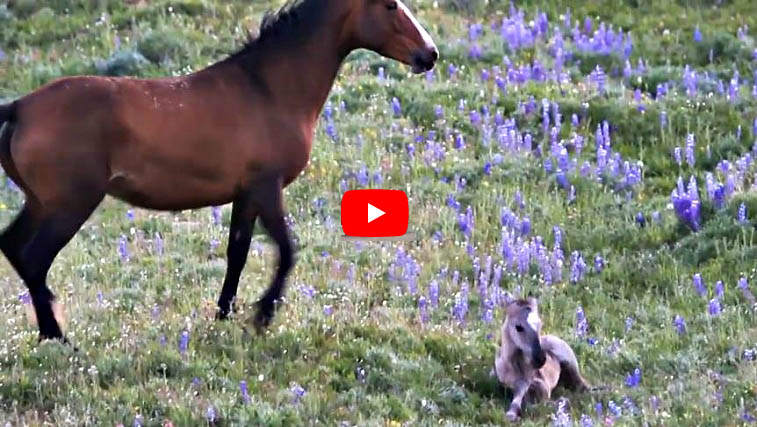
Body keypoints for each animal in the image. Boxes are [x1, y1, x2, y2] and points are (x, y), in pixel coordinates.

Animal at [0, 0, 438, 344]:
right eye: (390, 5)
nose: (430, 54)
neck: (269, 89)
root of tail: (20, 107)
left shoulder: (245, 195)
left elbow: (237, 254)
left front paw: (224, 315)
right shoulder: (266, 187)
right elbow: (287, 251)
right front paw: (261, 316)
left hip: (41, 203)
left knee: (14, 247)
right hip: (70, 205)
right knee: (35, 258)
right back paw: (57, 336)